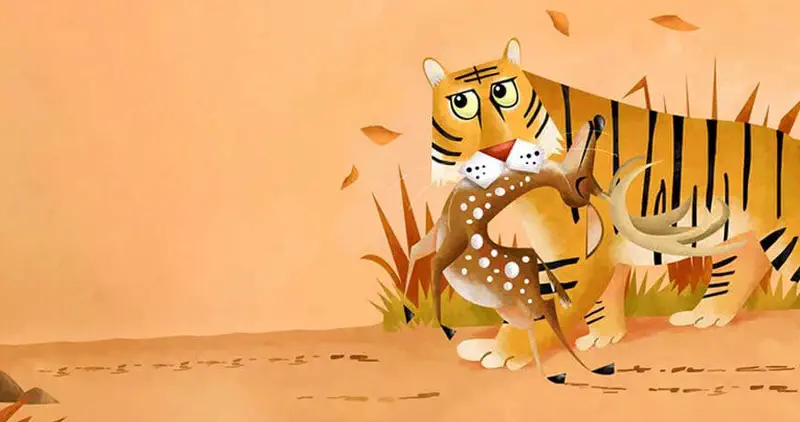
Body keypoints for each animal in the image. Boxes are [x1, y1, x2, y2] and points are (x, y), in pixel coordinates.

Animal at [422, 37, 800, 370]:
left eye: (503, 93)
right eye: (461, 103)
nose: (499, 152)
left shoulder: (574, 253)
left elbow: (544, 305)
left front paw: (502, 353)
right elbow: (603, 298)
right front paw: (603, 337)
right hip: (733, 238)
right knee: (742, 268)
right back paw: (705, 316)